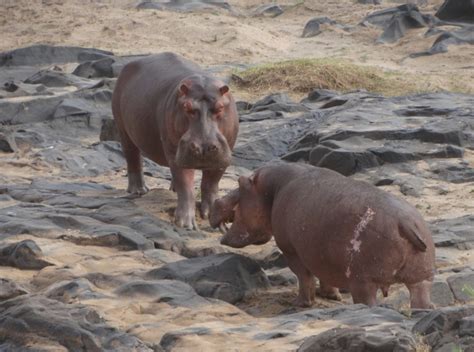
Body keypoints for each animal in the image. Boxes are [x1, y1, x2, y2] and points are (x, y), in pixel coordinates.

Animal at [110, 51, 237, 228]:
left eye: (220, 107)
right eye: (186, 107)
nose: (203, 147)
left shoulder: (225, 152)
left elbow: (211, 184)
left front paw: (214, 217)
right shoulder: (173, 150)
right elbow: (185, 184)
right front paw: (185, 224)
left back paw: (172, 189)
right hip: (123, 129)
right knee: (132, 157)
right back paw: (139, 190)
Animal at [211, 163, 436, 308]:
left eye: (240, 182)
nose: (215, 202)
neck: (272, 189)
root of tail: (406, 223)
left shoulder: (292, 251)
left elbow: (304, 275)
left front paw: (301, 304)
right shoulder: (321, 254)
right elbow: (325, 276)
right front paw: (331, 296)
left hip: (363, 281)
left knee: (369, 302)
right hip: (421, 276)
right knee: (421, 299)